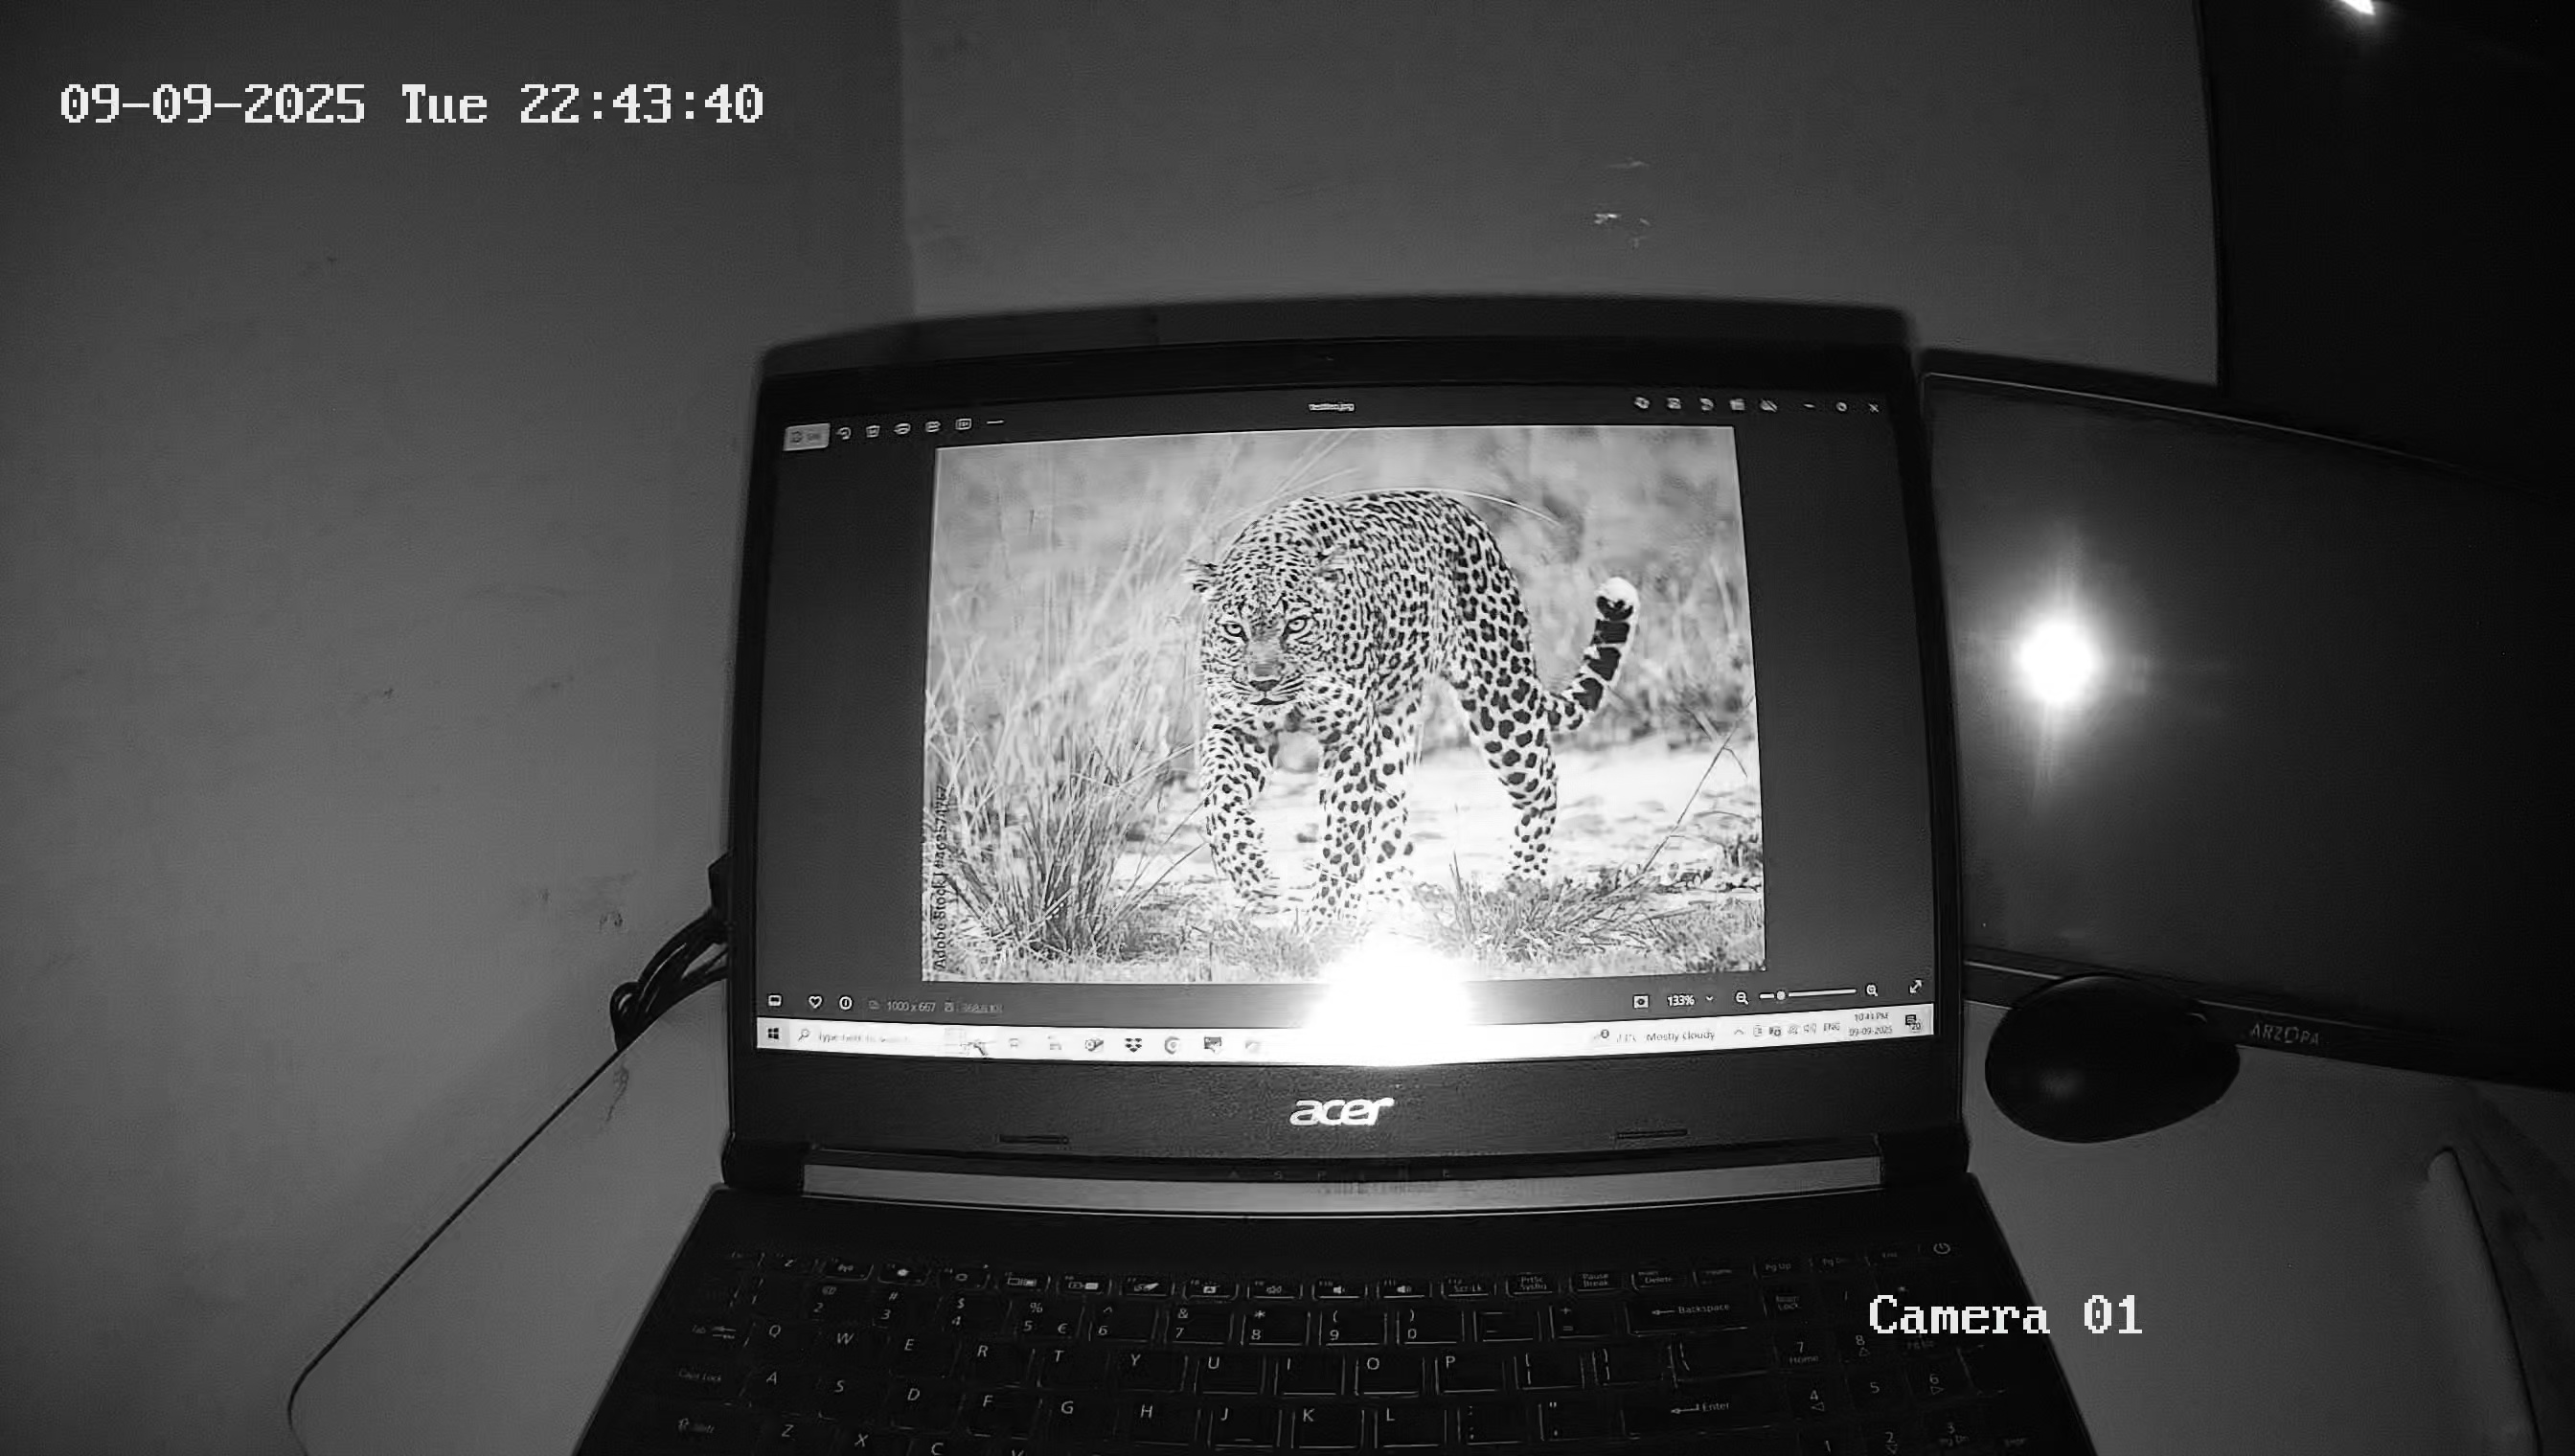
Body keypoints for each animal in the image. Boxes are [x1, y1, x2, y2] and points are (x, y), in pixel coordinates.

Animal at [1185, 490, 1638, 921]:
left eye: (1296, 625)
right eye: (1234, 629)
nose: (1263, 683)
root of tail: (1458, 509)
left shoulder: (1349, 738)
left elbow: (1344, 833)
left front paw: (1325, 919)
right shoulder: (1239, 728)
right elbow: (1216, 798)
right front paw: (1252, 876)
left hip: (1502, 701)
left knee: (1542, 783)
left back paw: (1524, 877)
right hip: (1395, 723)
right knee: (1393, 809)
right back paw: (1390, 897)